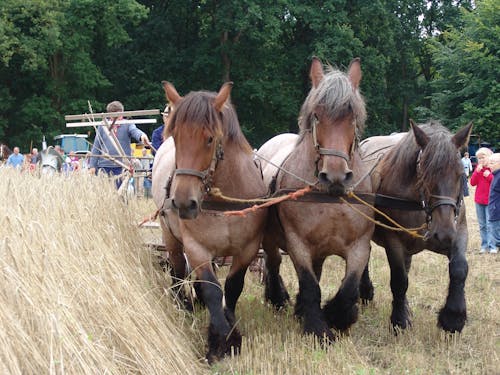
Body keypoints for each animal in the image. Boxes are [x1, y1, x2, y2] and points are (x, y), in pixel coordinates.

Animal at [150, 81, 286, 364]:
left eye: (210, 138)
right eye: (175, 137)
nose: (183, 203)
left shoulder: (247, 248)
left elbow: (233, 287)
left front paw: (230, 331)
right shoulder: (196, 247)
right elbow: (213, 289)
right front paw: (220, 341)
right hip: (171, 237)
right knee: (178, 270)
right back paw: (184, 306)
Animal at [260, 57, 374, 342]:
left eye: (352, 117)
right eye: (317, 116)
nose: (335, 176)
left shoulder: (359, 245)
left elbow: (349, 287)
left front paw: (337, 316)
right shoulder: (297, 243)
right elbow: (310, 284)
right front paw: (317, 327)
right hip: (270, 239)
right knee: (273, 263)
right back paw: (278, 299)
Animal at [360, 119, 472, 334]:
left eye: (460, 174)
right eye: (424, 175)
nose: (443, 233)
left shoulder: (458, 231)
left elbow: (459, 268)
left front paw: (453, 318)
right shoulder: (394, 239)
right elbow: (399, 279)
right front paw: (399, 321)